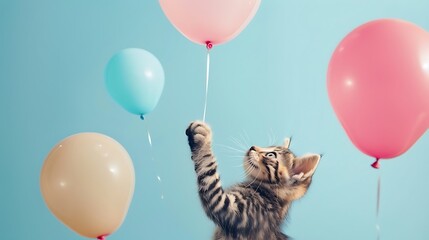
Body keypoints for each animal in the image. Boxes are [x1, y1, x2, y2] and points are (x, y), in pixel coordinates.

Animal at [186, 122, 320, 240]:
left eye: (271, 155)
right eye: (267, 146)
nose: (252, 147)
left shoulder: (229, 208)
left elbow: (207, 166)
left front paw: (203, 141)